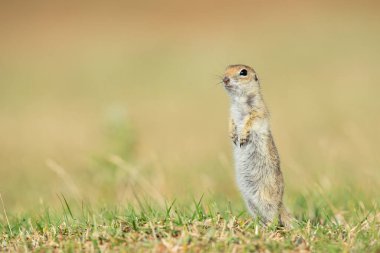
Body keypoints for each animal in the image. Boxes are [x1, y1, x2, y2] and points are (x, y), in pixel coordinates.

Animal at [221, 64, 292, 228]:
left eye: (243, 72)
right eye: (226, 69)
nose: (225, 79)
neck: (239, 100)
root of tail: (280, 205)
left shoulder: (258, 110)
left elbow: (251, 119)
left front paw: (242, 137)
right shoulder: (231, 112)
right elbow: (231, 121)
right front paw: (232, 135)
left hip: (266, 199)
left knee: (273, 217)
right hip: (250, 202)